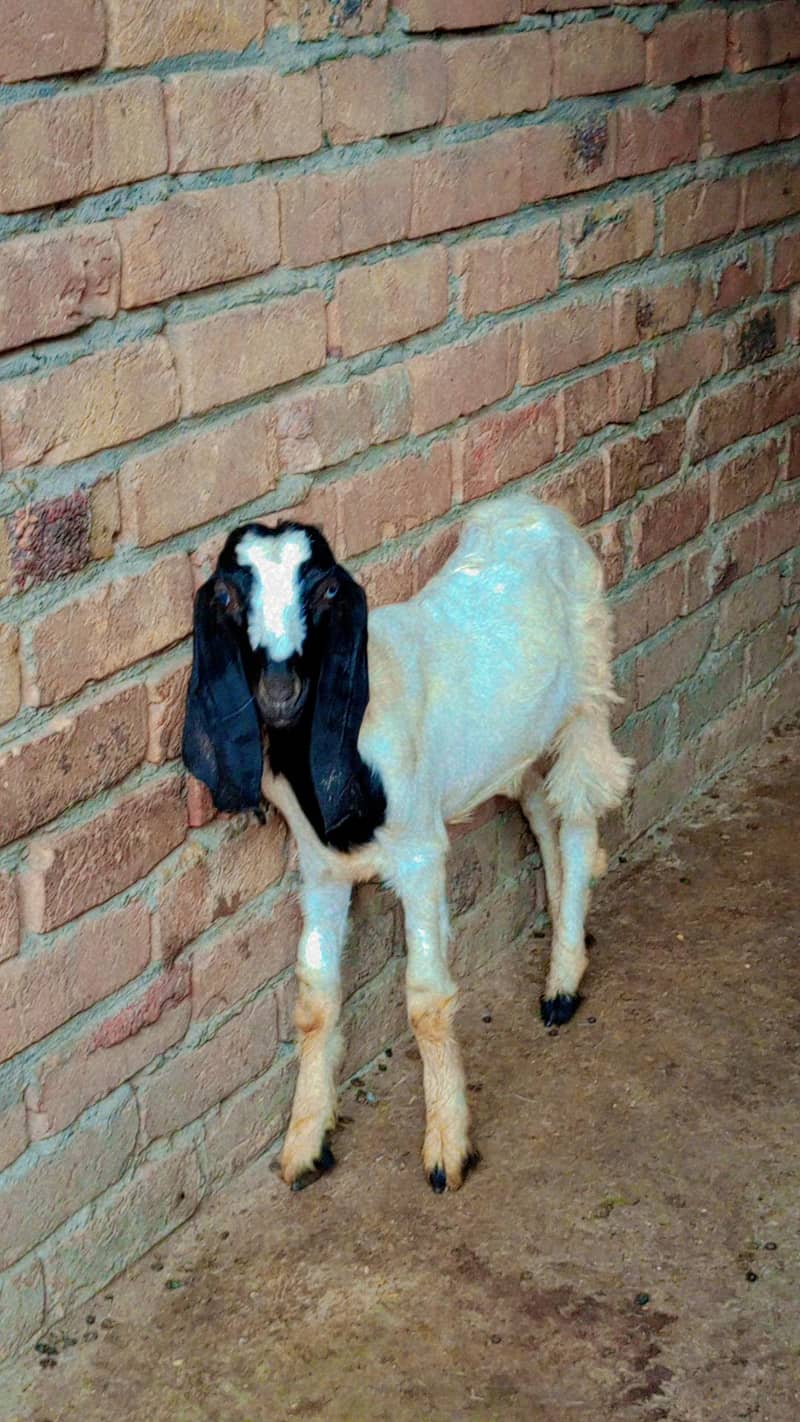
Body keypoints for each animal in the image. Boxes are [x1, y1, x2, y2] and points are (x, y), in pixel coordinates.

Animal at [183, 495, 631, 1193]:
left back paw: (561, 983)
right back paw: (569, 924)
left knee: (579, 819)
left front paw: (447, 1146)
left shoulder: (421, 854)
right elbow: (315, 999)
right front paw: (305, 1144)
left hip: (587, 687)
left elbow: (426, 1000)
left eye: (327, 589)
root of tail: (533, 506)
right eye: (229, 594)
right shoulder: (320, 869)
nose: (279, 693)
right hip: (512, 741)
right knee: (538, 806)